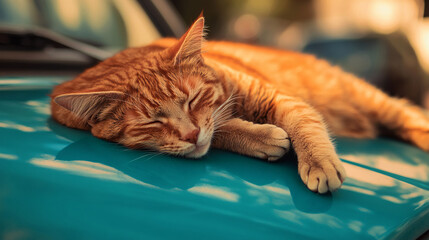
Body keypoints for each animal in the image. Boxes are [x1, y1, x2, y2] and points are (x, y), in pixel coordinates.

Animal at [49, 14, 428, 193]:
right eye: (153, 122)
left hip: (375, 102)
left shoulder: (277, 97)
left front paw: (318, 161)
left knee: (411, 117)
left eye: (193, 100)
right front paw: (261, 137)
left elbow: (304, 124)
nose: (190, 135)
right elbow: (219, 128)